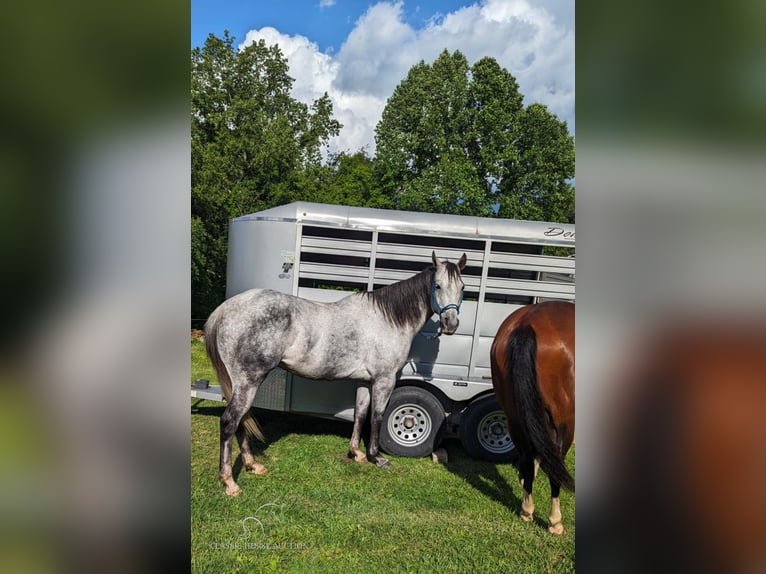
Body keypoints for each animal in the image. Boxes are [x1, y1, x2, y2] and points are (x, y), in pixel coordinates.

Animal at [204, 254, 468, 498]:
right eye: (438, 286)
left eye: (463, 287)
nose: (451, 323)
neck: (388, 320)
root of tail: (228, 308)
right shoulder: (384, 380)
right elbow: (377, 417)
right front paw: (377, 457)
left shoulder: (365, 381)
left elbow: (360, 414)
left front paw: (356, 453)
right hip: (248, 381)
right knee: (230, 421)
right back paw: (229, 482)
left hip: (242, 384)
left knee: (241, 420)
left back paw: (252, 465)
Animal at [492, 302, 576, 536]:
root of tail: (527, 322)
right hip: (564, 421)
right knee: (556, 465)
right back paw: (555, 521)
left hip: (514, 415)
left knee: (528, 455)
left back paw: (526, 509)